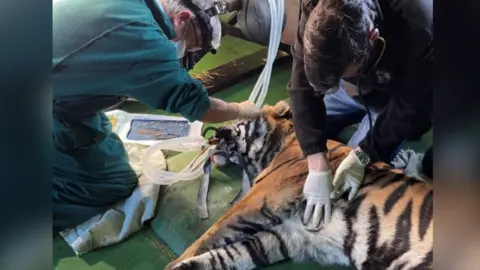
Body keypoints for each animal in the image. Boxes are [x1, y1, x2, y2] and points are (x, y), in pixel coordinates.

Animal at [163, 99, 434, 270]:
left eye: (236, 115)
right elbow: (226, 255)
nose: (214, 129)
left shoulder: (257, 202)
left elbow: (208, 236)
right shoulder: (287, 235)